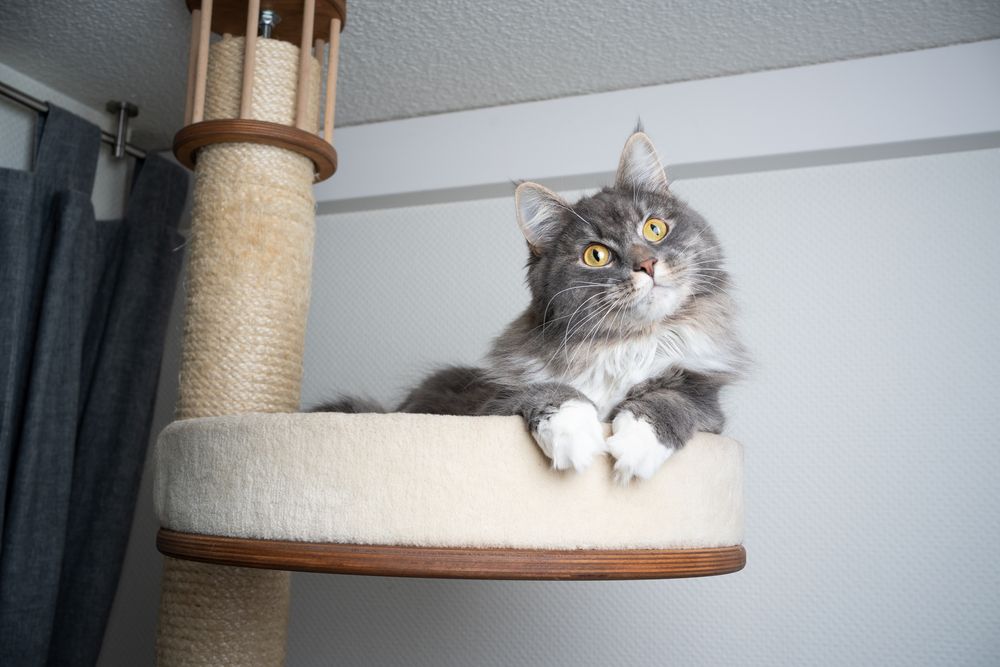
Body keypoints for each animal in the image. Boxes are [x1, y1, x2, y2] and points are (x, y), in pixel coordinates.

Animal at [316, 132, 748, 486]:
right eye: (596, 255)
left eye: (654, 229)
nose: (647, 265)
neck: (620, 344)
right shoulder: (490, 408)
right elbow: (550, 391)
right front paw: (576, 437)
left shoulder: (707, 404)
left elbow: (672, 399)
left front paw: (636, 445)